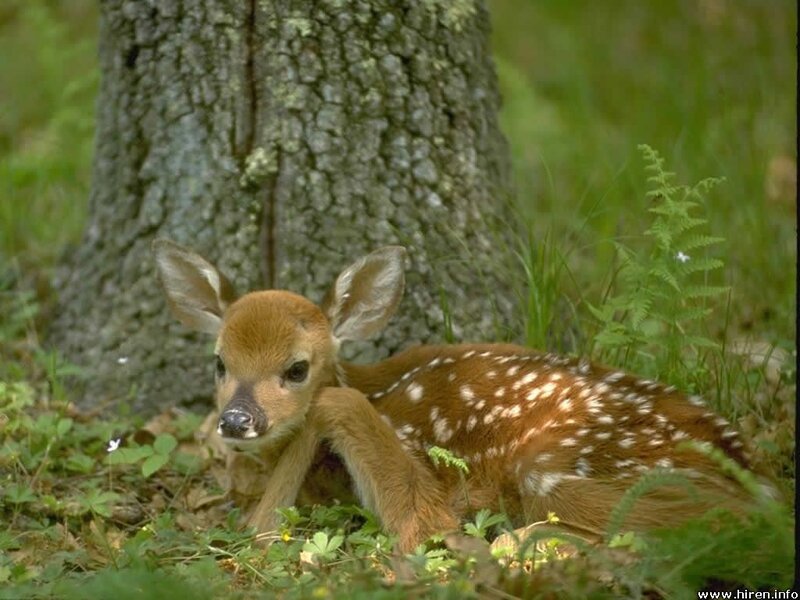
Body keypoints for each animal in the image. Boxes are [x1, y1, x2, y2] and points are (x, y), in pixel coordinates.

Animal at [153, 239, 765, 553]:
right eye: (220, 362)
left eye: (297, 368)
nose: (236, 421)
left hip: (561, 468)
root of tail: (755, 477)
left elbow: (422, 520)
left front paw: (259, 525)